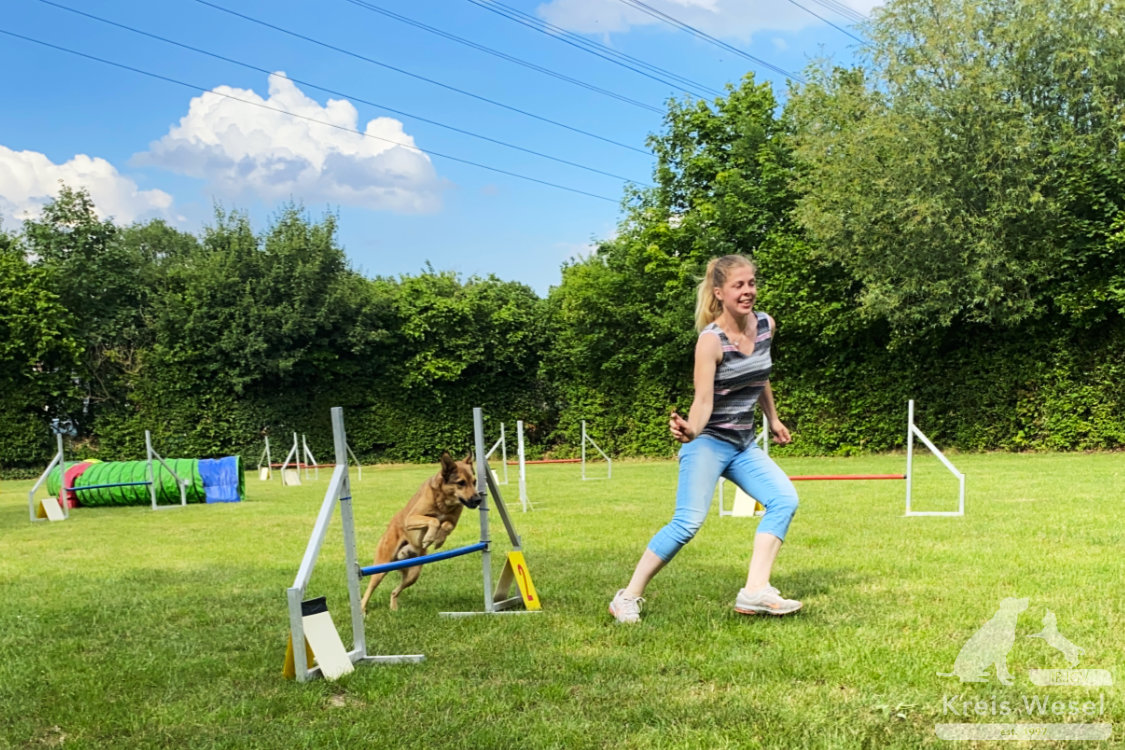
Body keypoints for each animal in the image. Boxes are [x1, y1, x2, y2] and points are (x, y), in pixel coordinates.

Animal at [362, 452, 481, 611]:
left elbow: (446, 525)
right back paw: (362, 610)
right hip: (381, 568)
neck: (444, 501)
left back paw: (394, 609)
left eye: (474, 482)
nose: (478, 499)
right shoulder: (411, 518)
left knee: (394, 591)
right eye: (461, 483)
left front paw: (438, 540)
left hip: (413, 574)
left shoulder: (453, 522)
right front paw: (429, 537)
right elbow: (434, 520)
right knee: (368, 590)